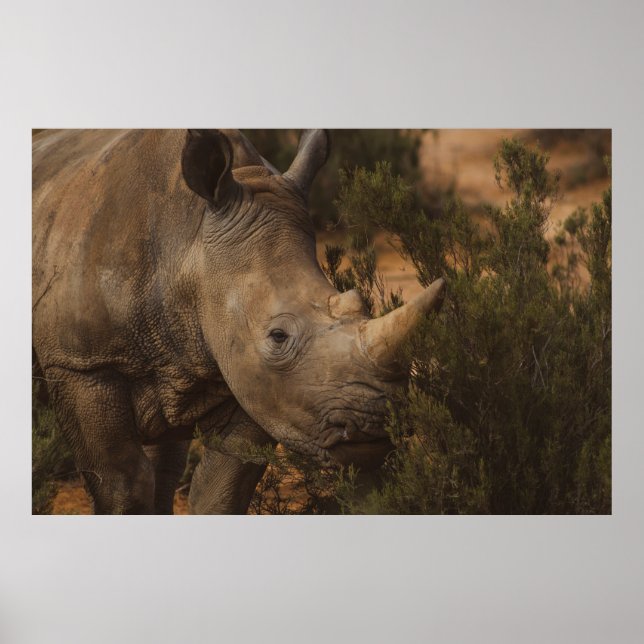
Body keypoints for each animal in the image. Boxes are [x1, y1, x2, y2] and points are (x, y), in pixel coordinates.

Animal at [32, 129, 445, 514]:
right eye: (278, 336)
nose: (375, 423)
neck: (187, 239)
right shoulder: (80, 363)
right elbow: (122, 483)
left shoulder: (246, 373)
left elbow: (224, 487)